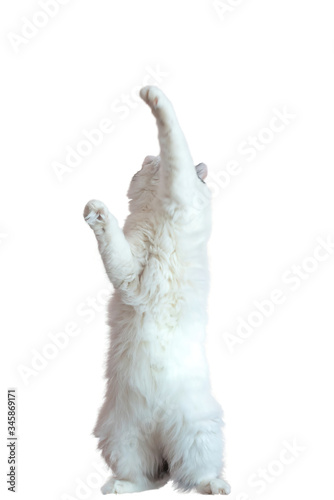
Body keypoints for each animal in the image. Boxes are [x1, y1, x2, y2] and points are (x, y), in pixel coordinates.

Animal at [83, 86, 230, 496]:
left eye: (153, 162)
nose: (148, 160)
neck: (156, 213)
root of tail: (159, 430)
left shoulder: (180, 193)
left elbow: (172, 133)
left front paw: (152, 95)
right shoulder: (128, 268)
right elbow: (112, 243)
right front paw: (95, 213)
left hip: (197, 435)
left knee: (194, 473)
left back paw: (217, 487)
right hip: (123, 438)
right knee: (146, 478)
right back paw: (117, 488)